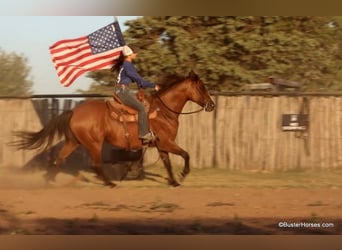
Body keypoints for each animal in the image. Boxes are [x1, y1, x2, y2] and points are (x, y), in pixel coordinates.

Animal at [10, 70, 215, 188]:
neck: (163, 111)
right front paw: (183, 174)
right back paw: (109, 183)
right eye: (202, 87)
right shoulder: (167, 142)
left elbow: (168, 163)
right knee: (96, 165)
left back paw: (49, 181)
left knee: (60, 158)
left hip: (74, 142)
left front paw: (173, 182)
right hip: (94, 144)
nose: (212, 105)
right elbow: (186, 155)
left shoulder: (161, 145)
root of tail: (74, 111)